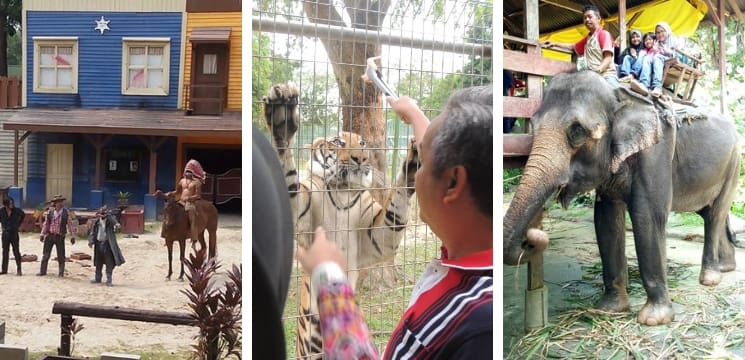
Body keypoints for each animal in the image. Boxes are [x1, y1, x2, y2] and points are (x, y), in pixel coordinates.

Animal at [264, 83, 418, 358]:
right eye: (337, 142)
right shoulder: (301, 210)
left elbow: (396, 208)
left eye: (363, 143)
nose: (361, 158)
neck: (343, 192)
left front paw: (412, 163)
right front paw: (281, 118)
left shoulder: (377, 235)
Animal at [502, 70, 740, 326]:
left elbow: (646, 216)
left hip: (735, 161)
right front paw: (609, 309)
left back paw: (710, 278)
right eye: (533, 126)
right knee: (710, 213)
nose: (532, 236)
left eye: (577, 131)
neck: (618, 95)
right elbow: (606, 219)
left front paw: (654, 319)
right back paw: (726, 268)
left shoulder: (656, 151)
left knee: (714, 214)